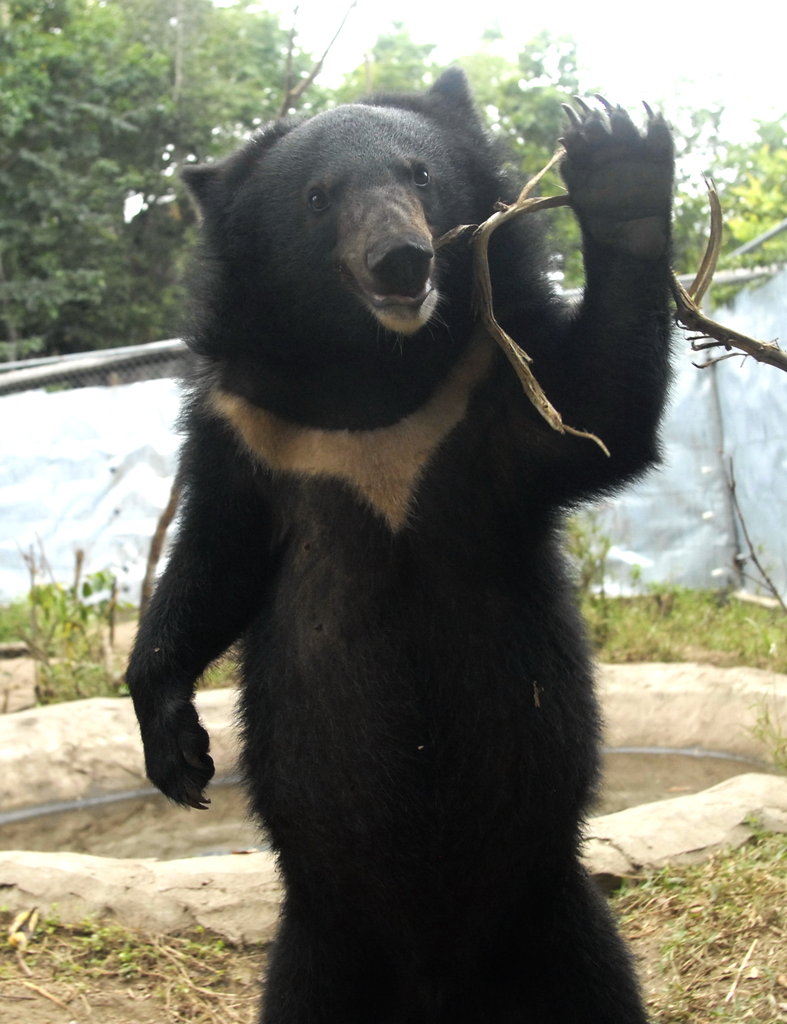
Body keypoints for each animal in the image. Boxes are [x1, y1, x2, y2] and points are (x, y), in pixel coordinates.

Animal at [126, 68, 674, 1023]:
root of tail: (438, 984)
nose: (401, 261)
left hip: (555, 914)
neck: (373, 374)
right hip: (317, 950)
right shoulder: (243, 428)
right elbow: (214, 563)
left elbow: (595, 418)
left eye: (418, 174)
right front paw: (180, 756)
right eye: (318, 198)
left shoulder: (487, 389)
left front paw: (622, 170)